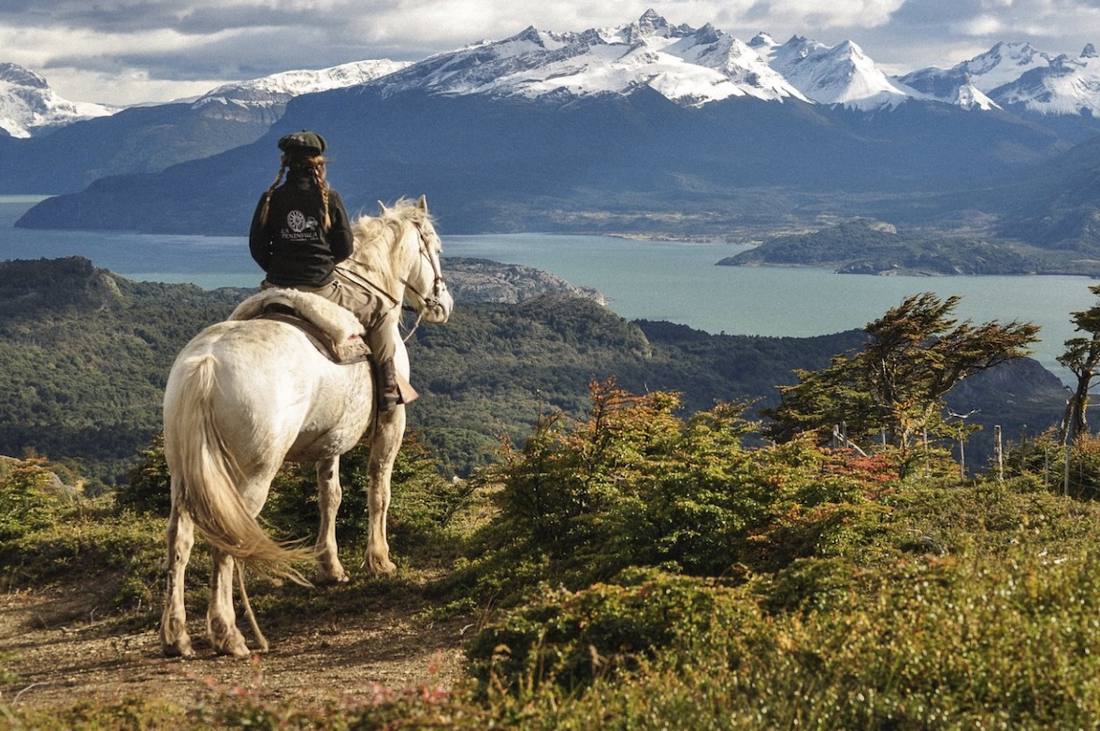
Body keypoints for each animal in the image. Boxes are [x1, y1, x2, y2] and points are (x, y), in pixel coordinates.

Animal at [158, 195, 453, 658]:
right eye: (434, 247)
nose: (444, 303)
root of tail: (205, 366)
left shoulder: (329, 441)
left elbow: (329, 497)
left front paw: (330, 566)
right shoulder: (393, 422)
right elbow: (379, 489)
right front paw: (379, 560)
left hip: (185, 473)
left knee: (180, 539)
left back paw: (177, 636)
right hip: (250, 476)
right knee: (226, 540)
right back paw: (229, 634)